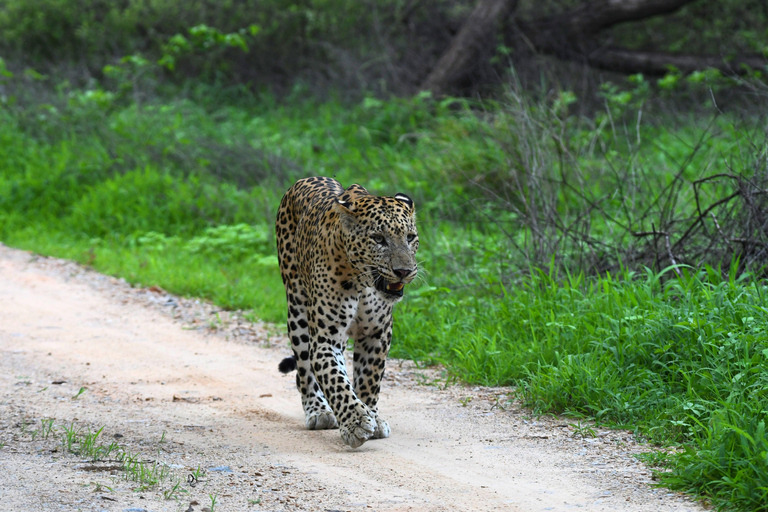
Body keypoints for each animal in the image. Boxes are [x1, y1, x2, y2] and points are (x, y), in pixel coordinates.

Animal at [276, 177, 416, 448]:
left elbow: (369, 379)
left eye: (411, 237)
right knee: (305, 370)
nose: (404, 271)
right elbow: (335, 379)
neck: (363, 282)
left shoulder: (377, 334)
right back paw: (318, 411)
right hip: (297, 310)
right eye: (378, 238)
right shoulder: (326, 338)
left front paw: (371, 416)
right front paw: (356, 422)